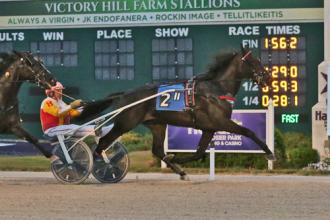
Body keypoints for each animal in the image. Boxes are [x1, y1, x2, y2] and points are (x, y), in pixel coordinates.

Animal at [79, 47, 274, 180]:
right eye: (254, 61)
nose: (267, 77)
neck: (215, 90)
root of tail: (125, 94)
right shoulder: (221, 122)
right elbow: (249, 132)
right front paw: (270, 153)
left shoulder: (209, 128)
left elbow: (199, 152)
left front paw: (177, 160)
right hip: (125, 123)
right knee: (103, 142)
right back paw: (97, 167)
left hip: (157, 124)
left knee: (157, 149)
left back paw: (179, 171)